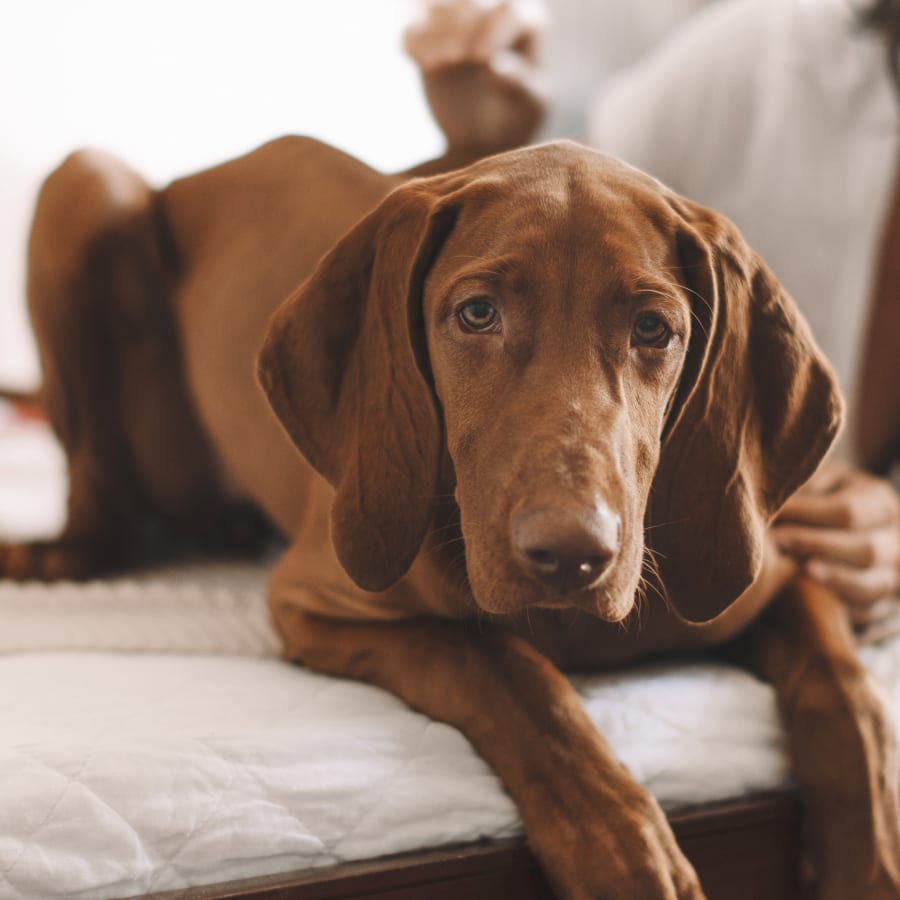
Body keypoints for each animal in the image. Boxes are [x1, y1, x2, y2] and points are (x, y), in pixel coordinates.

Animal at [3, 137, 896, 896]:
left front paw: (869, 863)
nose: (571, 555)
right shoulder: (321, 604)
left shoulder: (768, 571)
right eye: (476, 314)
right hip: (84, 183)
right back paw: (58, 553)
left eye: (654, 328)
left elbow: (846, 694)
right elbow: (502, 669)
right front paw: (623, 848)